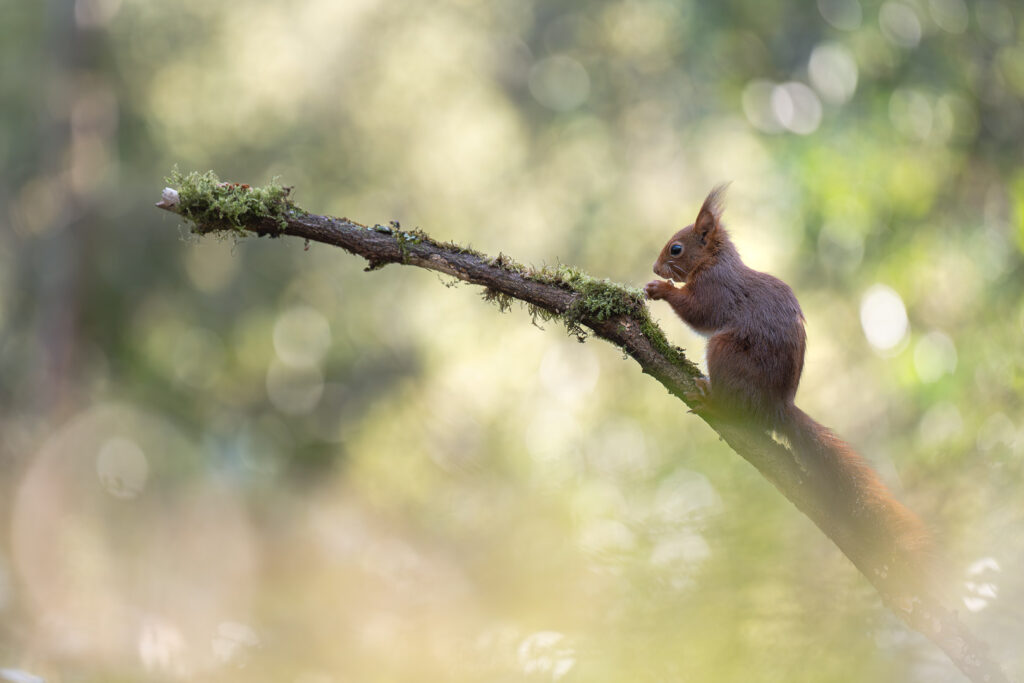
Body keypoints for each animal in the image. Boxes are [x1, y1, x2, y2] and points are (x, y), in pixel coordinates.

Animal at [644, 185, 930, 584]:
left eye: (676, 248)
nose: (656, 268)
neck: (715, 262)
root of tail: (777, 408)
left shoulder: (717, 290)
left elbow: (700, 313)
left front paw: (660, 289)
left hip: (725, 351)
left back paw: (712, 399)